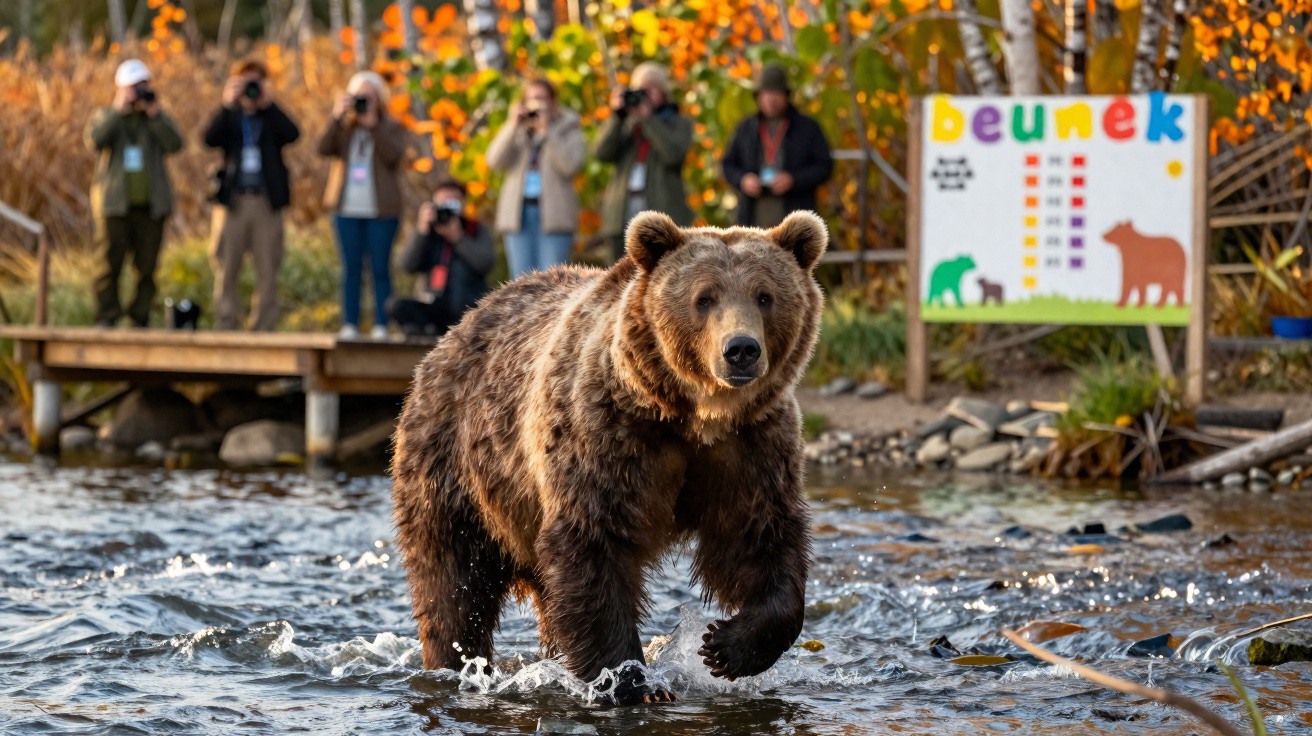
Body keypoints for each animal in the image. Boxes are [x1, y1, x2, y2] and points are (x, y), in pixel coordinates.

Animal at [390, 210, 827, 705]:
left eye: (765, 295)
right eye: (704, 298)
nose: (741, 349)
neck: (693, 417)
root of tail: (457, 327)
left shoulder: (751, 447)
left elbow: (760, 537)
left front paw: (725, 646)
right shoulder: (607, 434)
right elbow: (594, 544)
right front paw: (635, 682)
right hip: (457, 467)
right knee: (454, 583)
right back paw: (457, 662)